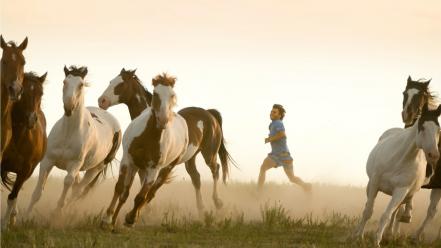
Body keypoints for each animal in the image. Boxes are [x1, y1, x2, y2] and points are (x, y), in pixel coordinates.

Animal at [1, 71, 47, 229]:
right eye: (23, 92)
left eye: (41, 93)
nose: (32, 119)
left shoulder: (25, 170)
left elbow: (12, 196)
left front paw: (4, 225)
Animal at [27, 66, 121, 215]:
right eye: (64, 82)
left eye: (81, 85)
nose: (69, 107)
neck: (68, 133)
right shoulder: (47, 161)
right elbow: (37, 193)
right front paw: (25, 215)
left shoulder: (74, 165)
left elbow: (67, 183)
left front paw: (57, 212)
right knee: (76, 187)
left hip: (95, 168)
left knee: (78, 190)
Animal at [99, 69, 234, 227]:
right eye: (111, 81)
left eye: (121, 84)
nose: (102, 101)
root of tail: (209, 113)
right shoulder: (133, 162)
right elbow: (124, 190)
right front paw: (111, 219)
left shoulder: (152, 168)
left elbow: (142, 194)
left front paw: (133, 217)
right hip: (190, 160)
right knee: (196, 178)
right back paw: (201, 209)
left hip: (207, 155)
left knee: (215, 169)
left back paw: (217, 202)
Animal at [354, 103, 440, 247]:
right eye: (423, 127)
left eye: (438, 130)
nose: (434, 155)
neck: (401, 158)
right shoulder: (374, 183)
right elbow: (368, 211)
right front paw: (358, 237)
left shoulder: (401, 190)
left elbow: (386, 215)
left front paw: (376, 241)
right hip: (371, 185)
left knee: (425, 212)